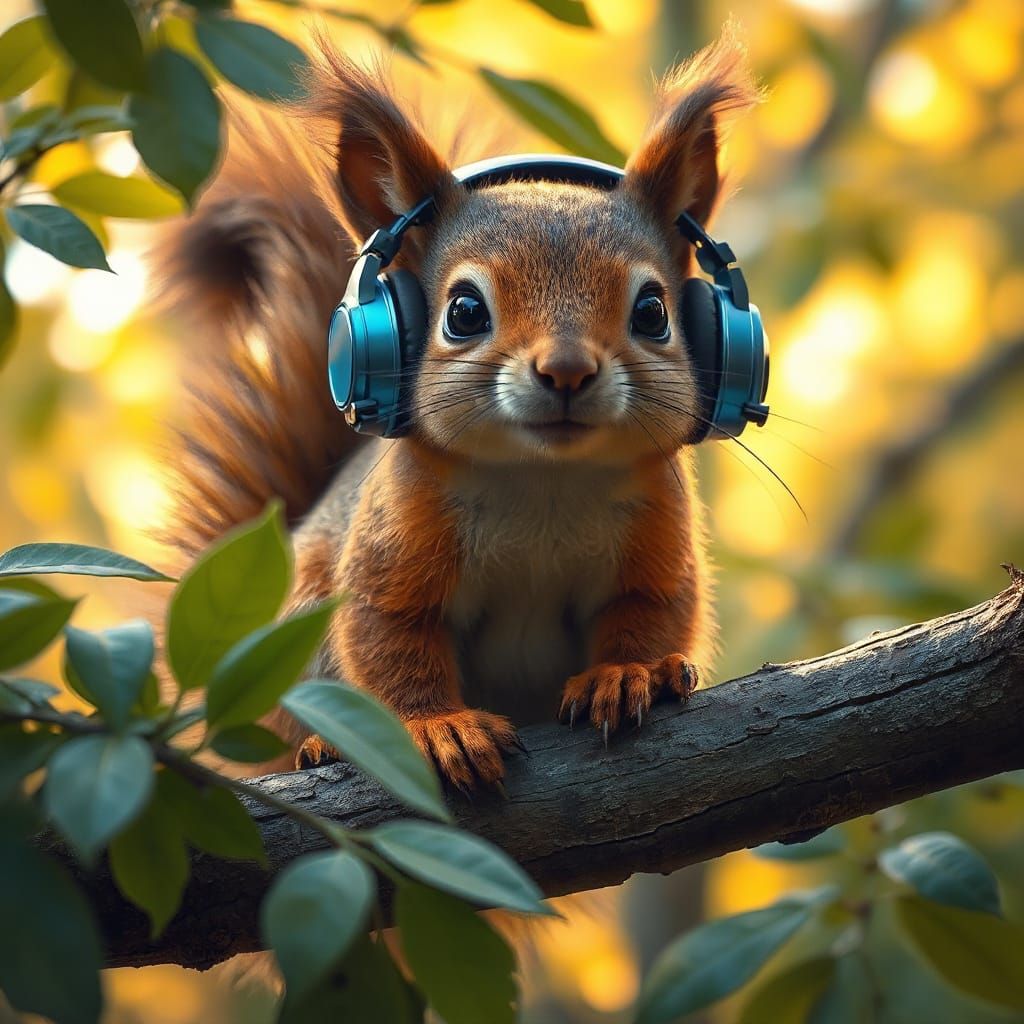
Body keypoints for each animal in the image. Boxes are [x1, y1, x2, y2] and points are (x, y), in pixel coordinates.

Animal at [159, 29, 759, 789]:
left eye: (653, 312)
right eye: (465, 312)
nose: (567, 370)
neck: (544, 482)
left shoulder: (657, 535)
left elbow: (649, 614)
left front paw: (628, 675)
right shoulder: (395, 544)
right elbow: (391, 643)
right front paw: (438, 726)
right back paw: (321, 746)